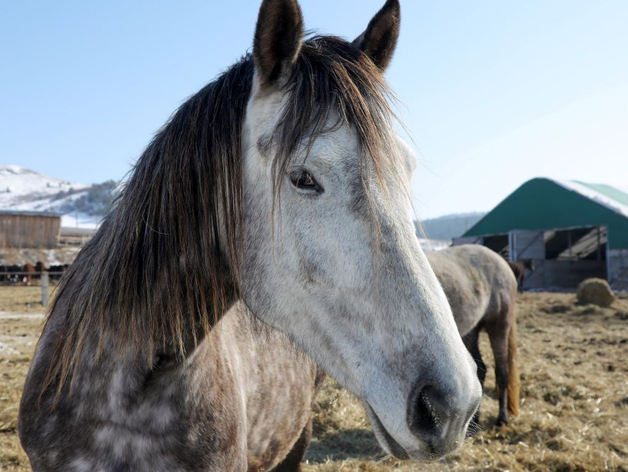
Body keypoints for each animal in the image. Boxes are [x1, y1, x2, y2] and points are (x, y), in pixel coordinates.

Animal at [426, 243, 520, 428]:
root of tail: (502, 262)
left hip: (499, 327)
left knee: (502, 373)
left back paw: (502, 418)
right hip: (472, 330)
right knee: (481, 370)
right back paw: (474, 422)